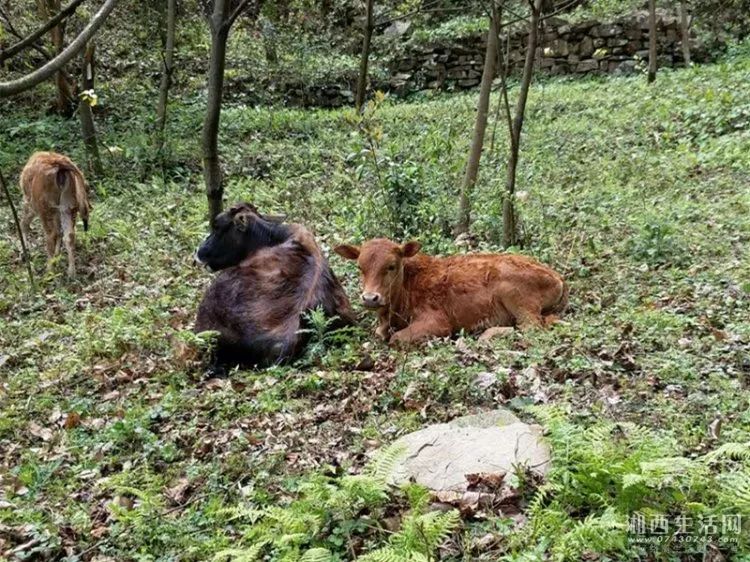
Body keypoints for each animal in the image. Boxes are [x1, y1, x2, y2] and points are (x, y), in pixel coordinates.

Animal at [334, 237, 568, 344]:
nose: (370, 298)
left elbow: (396, 339)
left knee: (531, 327)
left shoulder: (437, 322)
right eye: (360, 267)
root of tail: (556, 276)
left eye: (391, 266)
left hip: (516, 297)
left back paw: (486, 333)